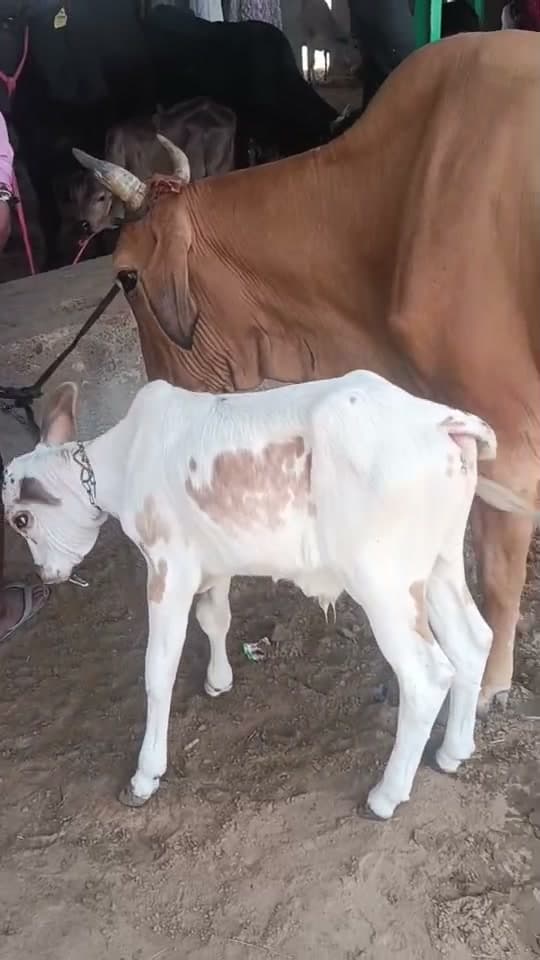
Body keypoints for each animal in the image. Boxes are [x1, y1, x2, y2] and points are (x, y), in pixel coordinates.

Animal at [6, 376, 534, 815]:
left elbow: (158, 667)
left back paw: (385, 796)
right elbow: (214, 617)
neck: (125, 460)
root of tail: (442, 420)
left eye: (20, 518)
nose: (46, 574)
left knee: (427, 674)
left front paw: (144, 776)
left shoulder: (167, 565)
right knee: (472, 640)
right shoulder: (215, 558)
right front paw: (219, 680)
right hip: (438, 562)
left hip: (384, 580)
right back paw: (453, 752)